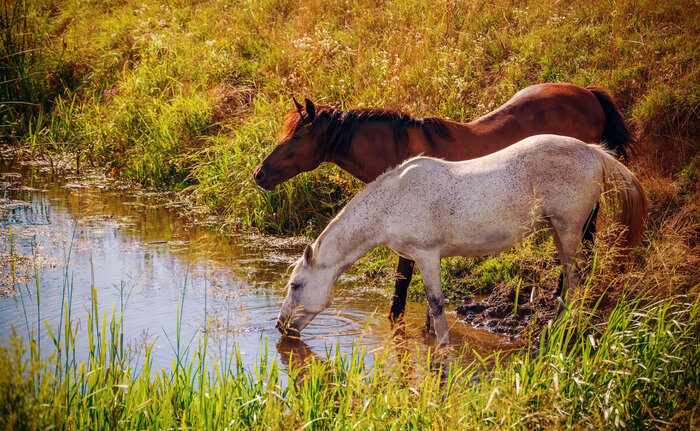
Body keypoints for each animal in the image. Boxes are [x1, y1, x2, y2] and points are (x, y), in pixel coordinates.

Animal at [255, 83, 637, 323]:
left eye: (297, 136)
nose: (259, 174)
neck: (398, 151)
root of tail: (588, 94)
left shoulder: (416, 247)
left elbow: (402, 289)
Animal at [275, 135, 647, 345]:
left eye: (295, 285)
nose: (280, 326)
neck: (392, 203)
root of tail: (593, 151)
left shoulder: (426, 255)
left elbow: (437, 303)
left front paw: (443, 345)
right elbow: (431, 306)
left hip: (569, 229)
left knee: (576, 278)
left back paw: (569, 328)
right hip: (557, 229)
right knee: (569, 279)